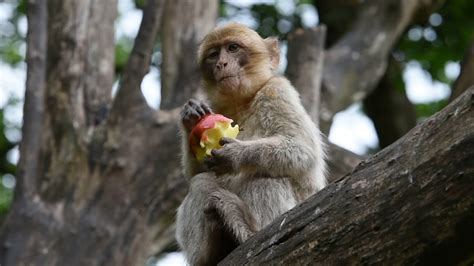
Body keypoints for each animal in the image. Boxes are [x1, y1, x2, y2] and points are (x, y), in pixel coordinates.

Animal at [176, 23, 328, 266]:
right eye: (214, 54)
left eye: (233, 48)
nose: (221, 63)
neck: (242, 101)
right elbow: (196, 172)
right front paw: (190, 118)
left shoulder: (277, 90)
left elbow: (303, 150)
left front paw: (235, 154)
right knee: (200, 183)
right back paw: (212, 251)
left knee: (263, 178)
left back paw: (247, 232)